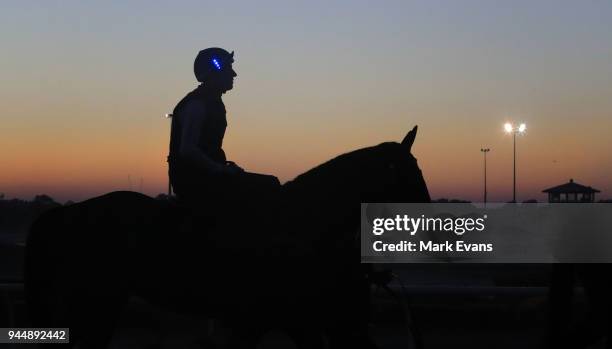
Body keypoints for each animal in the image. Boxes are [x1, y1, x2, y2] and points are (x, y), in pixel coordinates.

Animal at [25, 126, 430, 346]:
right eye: (409, 171)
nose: (428, 213)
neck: (299, 221)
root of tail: (67, 213)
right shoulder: (269, 317)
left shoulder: (286, 319)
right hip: (100, 300)